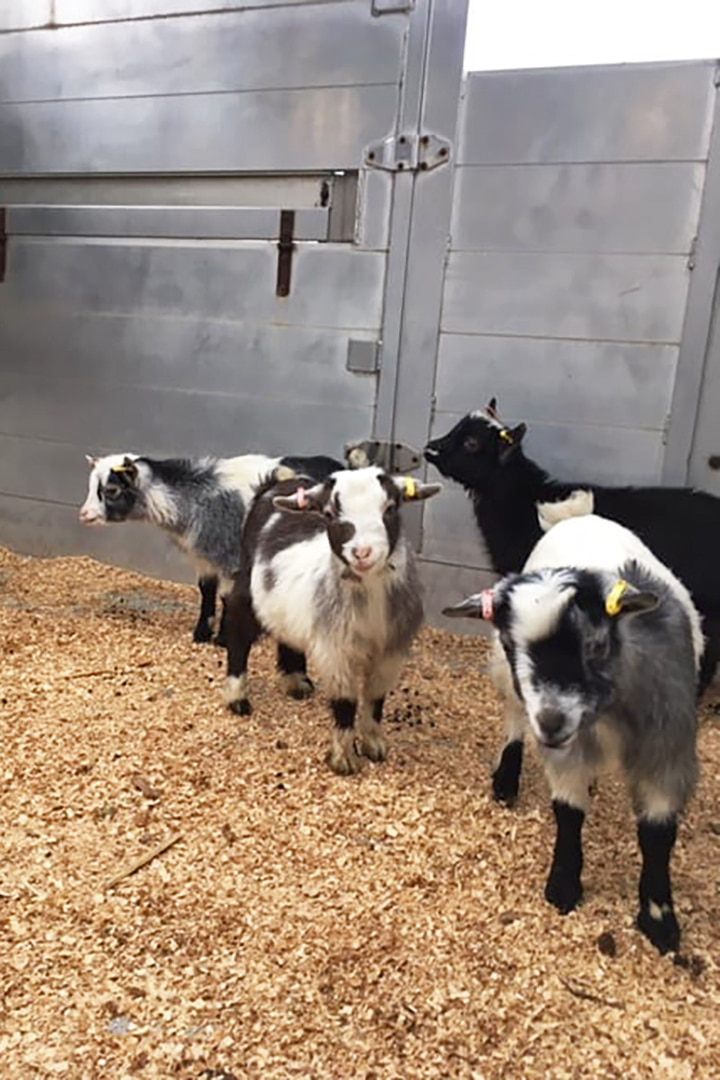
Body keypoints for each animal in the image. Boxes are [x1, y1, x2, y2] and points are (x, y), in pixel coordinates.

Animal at [444, 514, 703, 954]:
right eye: (512, 644)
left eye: (596, 645)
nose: (550, 721)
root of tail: (581, 515)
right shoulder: (567, 748)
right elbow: (568, 812)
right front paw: (563, 885)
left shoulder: (667, 747)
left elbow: (657, 834)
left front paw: (659, 920)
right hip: (506, 682)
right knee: (514, 719)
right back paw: (506, 779)